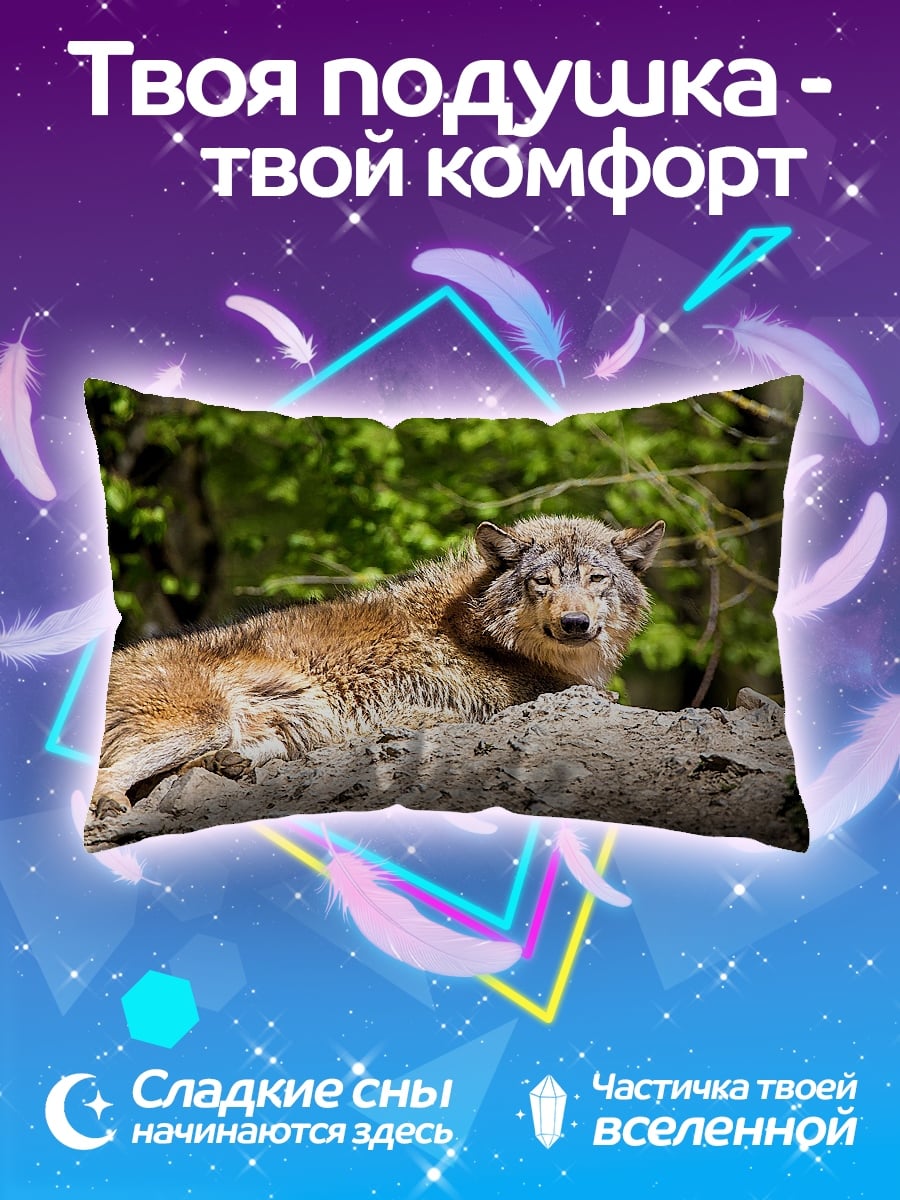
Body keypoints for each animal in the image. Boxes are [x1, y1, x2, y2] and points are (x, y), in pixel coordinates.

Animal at [91, 514, 664, 817]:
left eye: (596, 579)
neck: (480, 629)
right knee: (105, 778)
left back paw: (227, 767)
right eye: (542, 581)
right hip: (205, 723)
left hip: (274, 733)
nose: (575, 623)